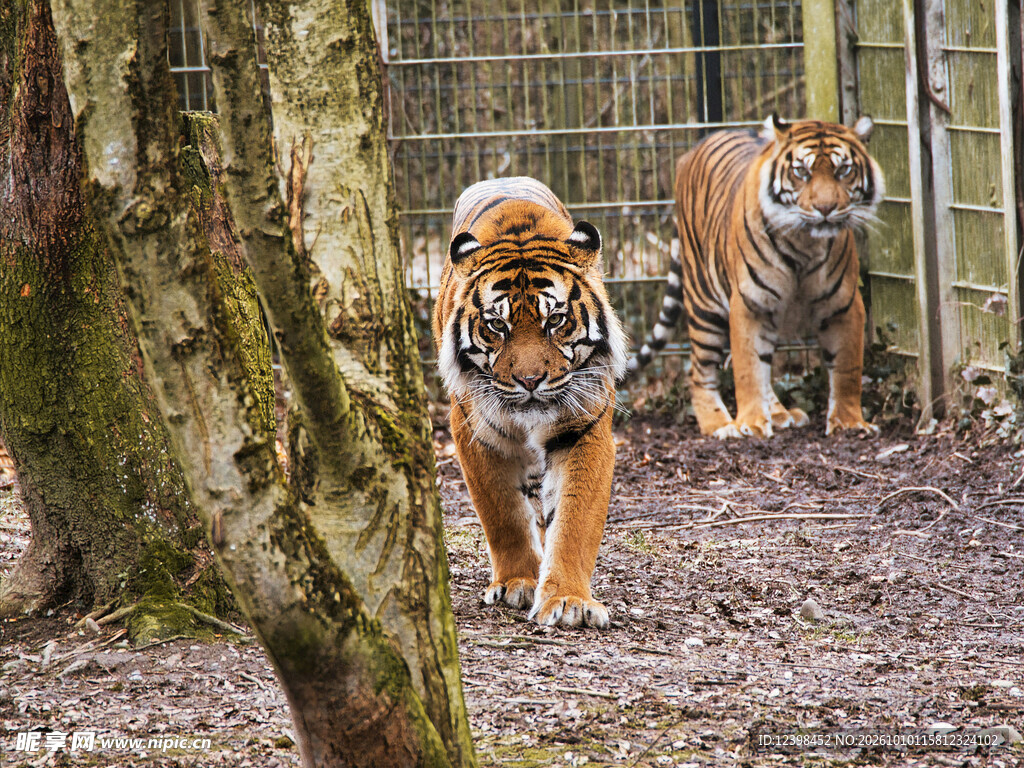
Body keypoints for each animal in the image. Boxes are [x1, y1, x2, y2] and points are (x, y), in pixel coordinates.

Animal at [433, 177, 628, 628]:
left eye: (554, 320)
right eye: (497, 325)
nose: (529, 380)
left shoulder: (583, 430)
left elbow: (574, 521)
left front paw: (569, 600)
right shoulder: (475, 433)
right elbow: (503, 512)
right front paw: (518, 582)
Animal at [628, 115, 885, 439]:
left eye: (844, 170)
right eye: (801, 171)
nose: (826, 209)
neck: (804, 243)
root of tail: (694, 149)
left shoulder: (844, 305)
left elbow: (847, 369)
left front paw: (849, 421)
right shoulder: (750, 304)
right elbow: (748, 369)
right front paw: (750, 423)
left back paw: (778, 413)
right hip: (704, 303)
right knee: (699, 370)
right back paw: (720, 424)